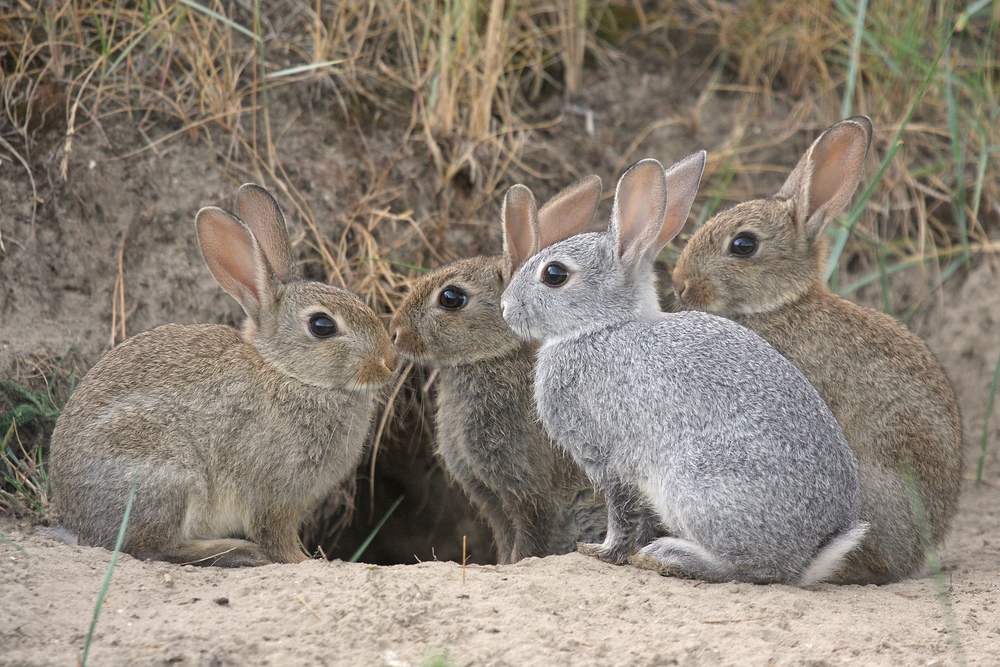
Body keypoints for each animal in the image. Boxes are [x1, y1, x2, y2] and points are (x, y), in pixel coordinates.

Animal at [48, 184, 396, 568]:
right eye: (322, 326)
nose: (390, 361)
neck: (288, 373)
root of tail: (79, 521)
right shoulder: (274, 496)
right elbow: (277, 538)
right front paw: (304, 561)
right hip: (169, 475)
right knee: (154, 548)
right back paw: (238, 550)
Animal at [390, 177, 608, 564]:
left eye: (451, 298)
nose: (395, 332)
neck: (491, 359)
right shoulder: (492, 498)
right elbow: (508, 541)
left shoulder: (529, 491)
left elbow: (530, 539)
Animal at [500, 153, 868, 584]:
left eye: (554, 275)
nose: (506, 307)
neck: (603, 327)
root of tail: (809, 557)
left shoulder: (611, 459)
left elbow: (620, 514)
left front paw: (601, 551)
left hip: (692, 486)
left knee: (749, 569)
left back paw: (669, 556)